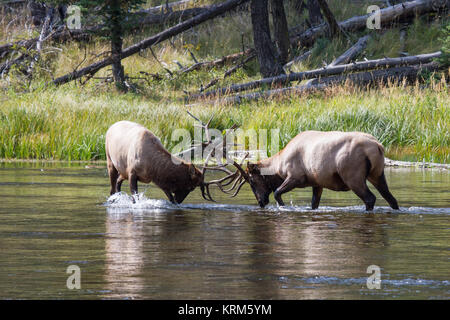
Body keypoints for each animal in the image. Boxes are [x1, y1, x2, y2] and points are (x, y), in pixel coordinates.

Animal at [223, 130, 400, 210]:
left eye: (252, 181)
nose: (261, 202)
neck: (279, 166)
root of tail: (378, 146)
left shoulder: (295, 176)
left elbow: (277, 192)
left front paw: (283, 207)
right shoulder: (317, 182)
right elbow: (314, 204)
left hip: (353, 176)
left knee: (370, 198)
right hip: (377, 174)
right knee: (391, 199)